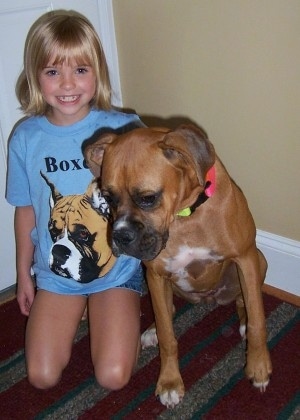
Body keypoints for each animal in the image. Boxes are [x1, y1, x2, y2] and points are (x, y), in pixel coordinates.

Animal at [84, 124, 272, 406]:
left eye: (148, 198)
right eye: (109, 198)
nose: (120, 236)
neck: (185, 216)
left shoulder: (246, 257)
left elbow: (257, 318)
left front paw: (259, 366)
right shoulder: (155, 274)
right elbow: (167, 336)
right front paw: (170, 381)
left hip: (259, 261)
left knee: (244, 302)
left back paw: (243, 325)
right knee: (168, 310)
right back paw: (151, 330)